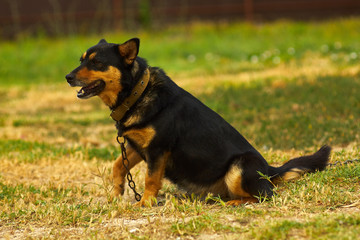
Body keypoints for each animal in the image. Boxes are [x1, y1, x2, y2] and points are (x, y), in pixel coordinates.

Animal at [66, 38, 330, 205]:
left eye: (97, 63)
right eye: (80, 60)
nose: (67, 77)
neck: (137, 93)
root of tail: (269, 171)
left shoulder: (157, 150)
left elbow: (151, 179)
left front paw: (146, 203)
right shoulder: (135, 147)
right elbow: (117, 166)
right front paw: (117, 193)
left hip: (238, 168)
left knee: (263, 196)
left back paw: (235, 203)